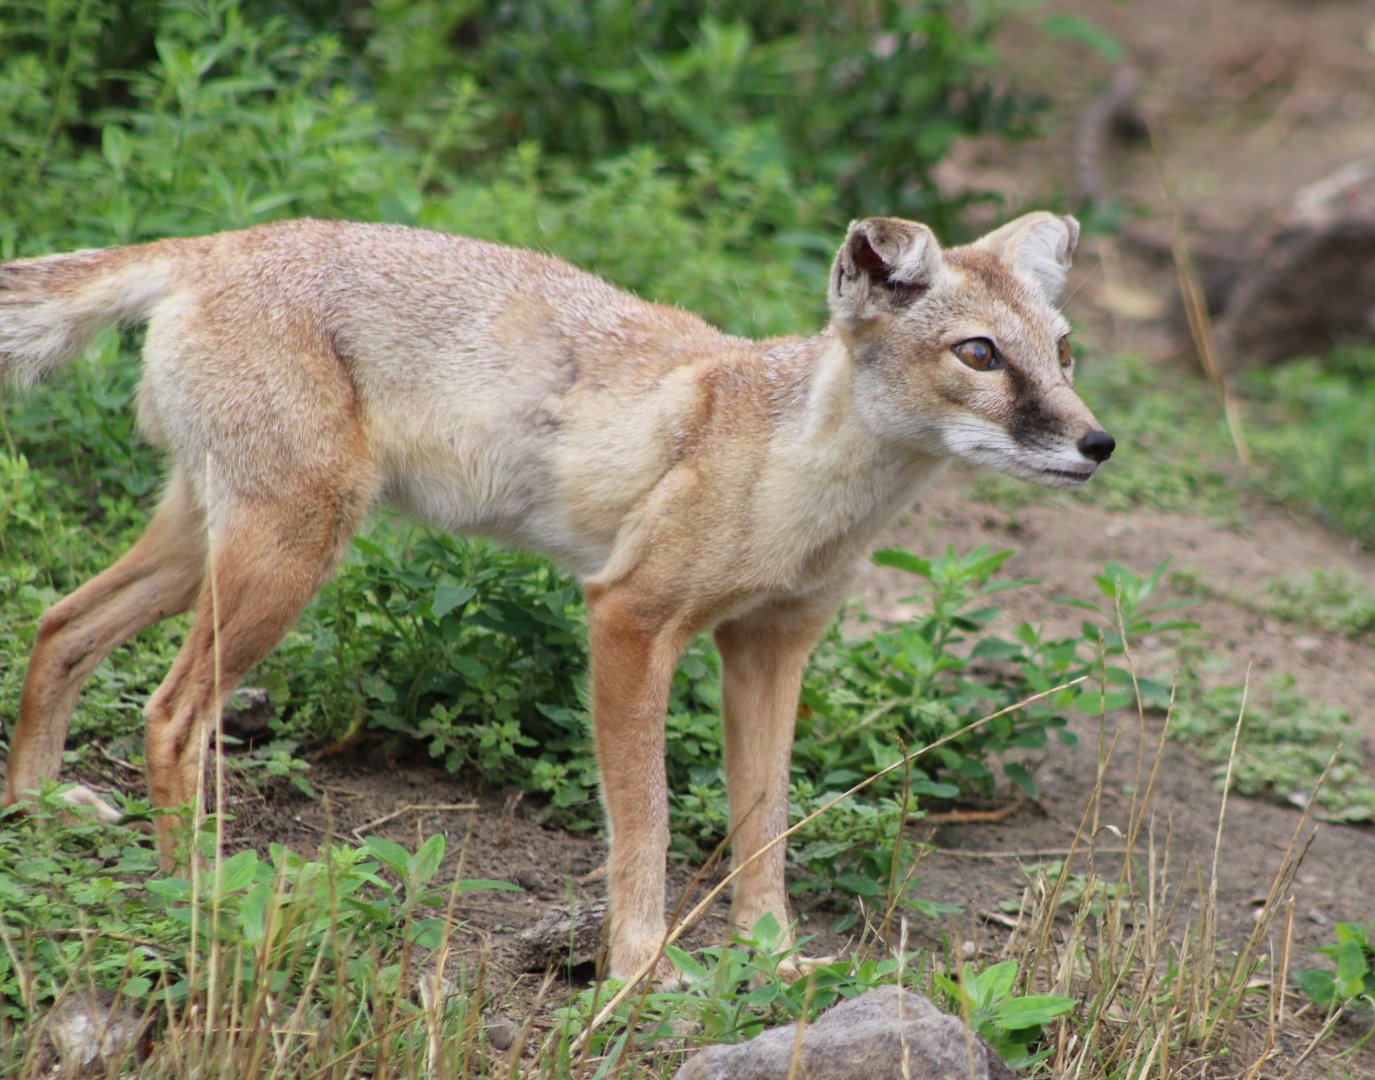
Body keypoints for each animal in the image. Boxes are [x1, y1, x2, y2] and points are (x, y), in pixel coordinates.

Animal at [0, 212, 1112, 981]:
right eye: (978, 354)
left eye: (1061, 352)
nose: (1097, 442)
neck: (798, 477)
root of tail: (229, 240)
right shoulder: (628, 619)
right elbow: (647, 823)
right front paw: (641, 968)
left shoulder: (771, 646)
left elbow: (763, 831)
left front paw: (775, 962)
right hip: (282, 560)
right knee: (167, 713)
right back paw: (196, 896)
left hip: (210, 547)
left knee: (58, 625)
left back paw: (37, 806)